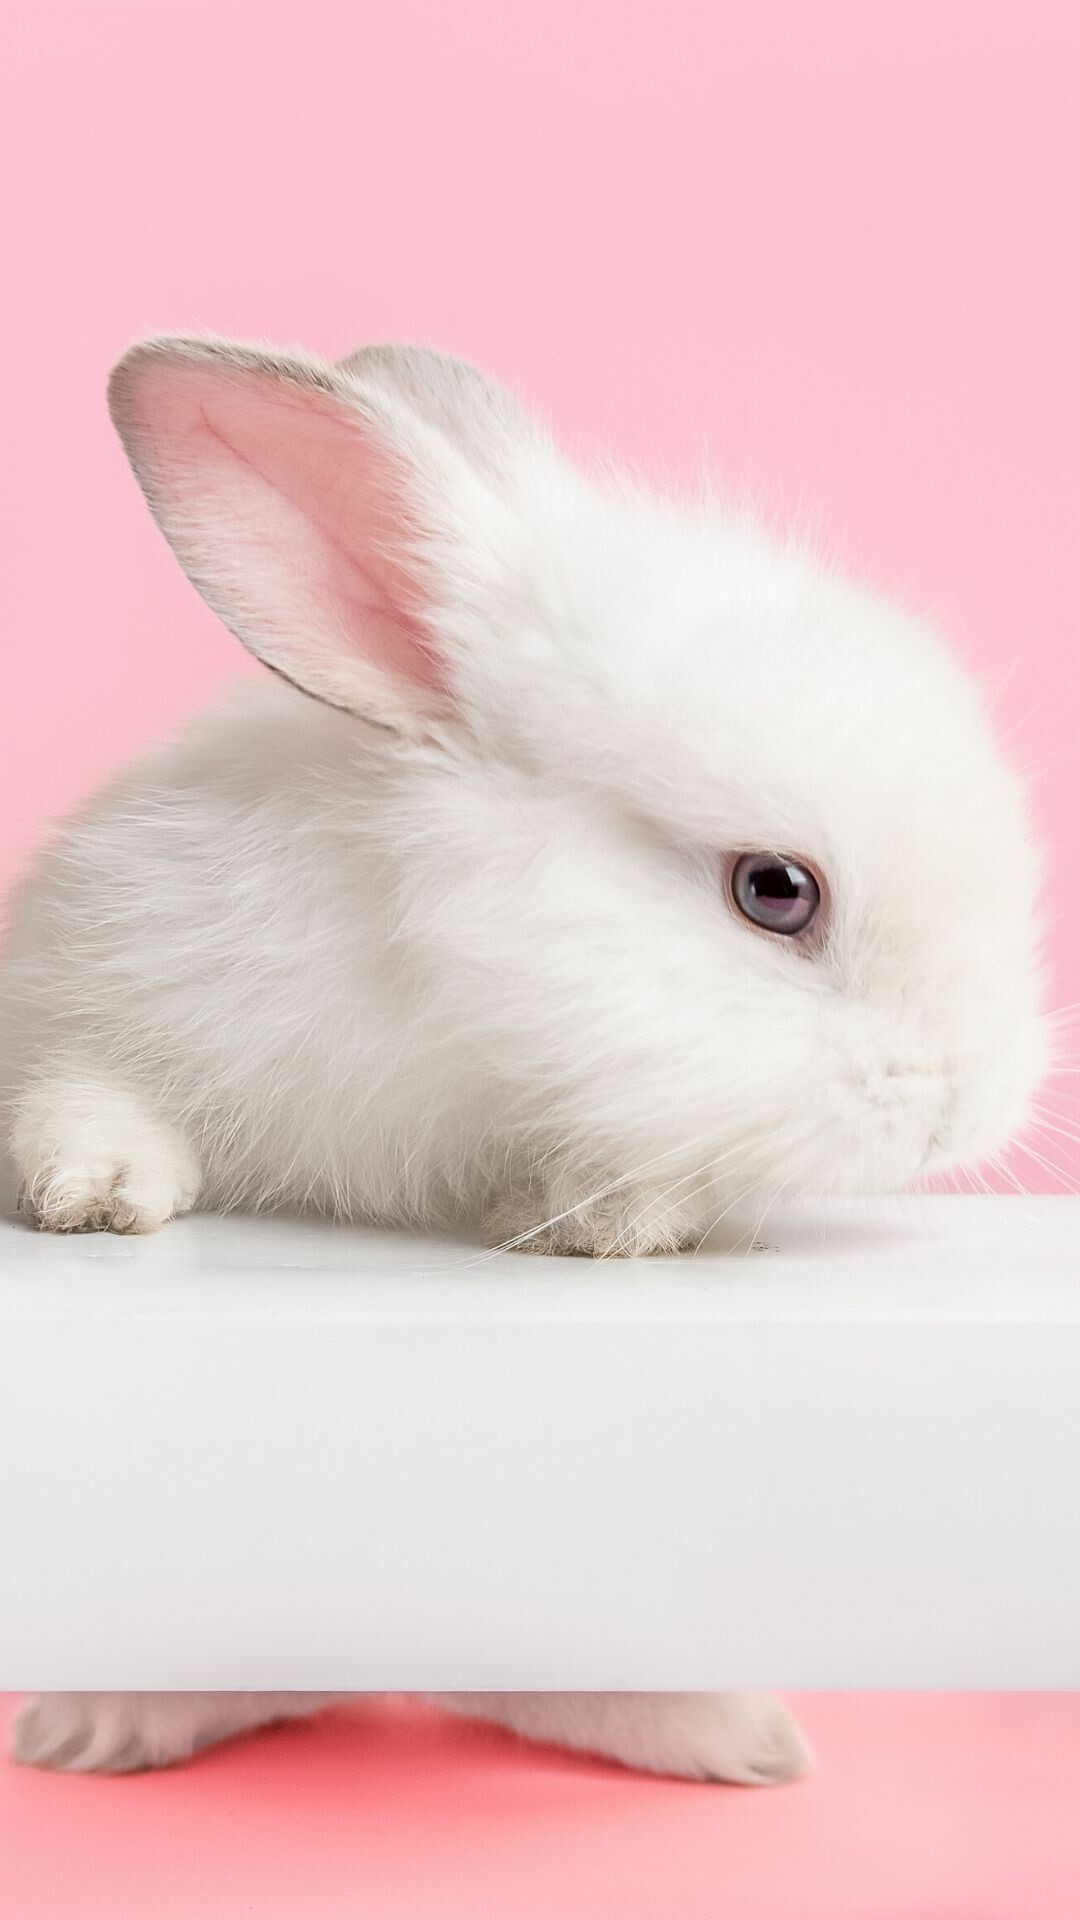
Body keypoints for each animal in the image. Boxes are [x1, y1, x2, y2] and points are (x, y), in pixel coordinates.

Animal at [0, 334, 1048, 1782]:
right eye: (776, 891)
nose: (968, 1105)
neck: (462, 1025)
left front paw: (599, 1222)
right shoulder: (81, 992)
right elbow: (80, 1099)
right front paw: (99, 1200)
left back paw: (737, 1741)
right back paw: (99, 1728)